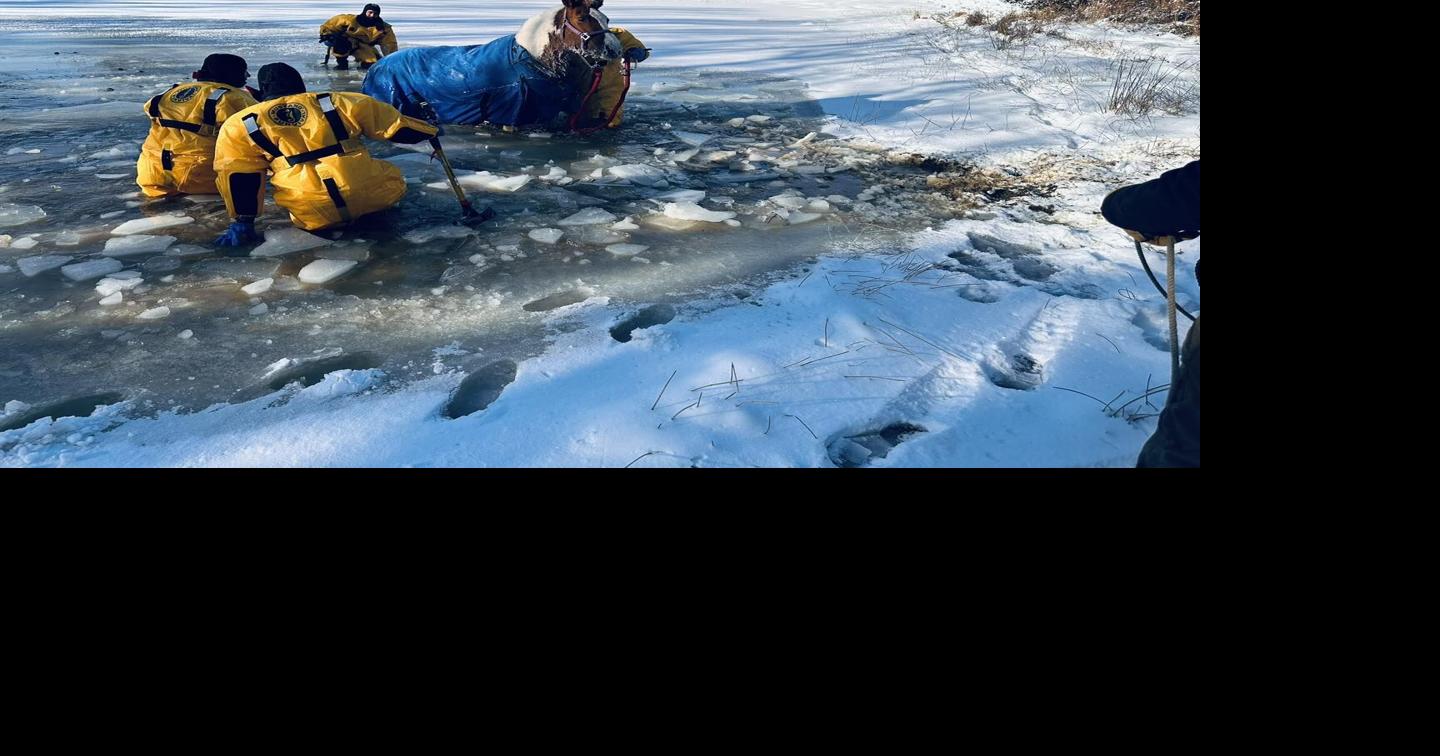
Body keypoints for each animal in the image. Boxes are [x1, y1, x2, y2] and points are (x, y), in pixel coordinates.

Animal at [360, 0, 622, 132]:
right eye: (582, 17)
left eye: (606, 18)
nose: (615, 50)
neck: (533, 61)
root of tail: (376, 66)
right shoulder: (511, 117)